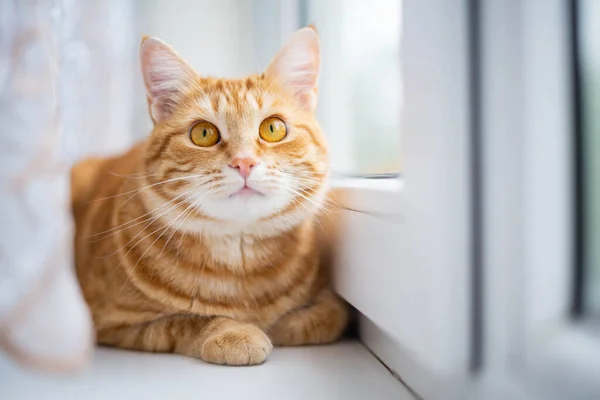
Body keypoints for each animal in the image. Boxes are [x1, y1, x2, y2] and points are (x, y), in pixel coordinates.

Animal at [71, 27, 346, 366]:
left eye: (273, 128)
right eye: (203, 133)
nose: (244, 162)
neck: (241, 268)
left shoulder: (331, 302)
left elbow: (325, 318)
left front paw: (281, 323)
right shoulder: (113, 322)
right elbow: (186, 320)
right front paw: (236, 331)